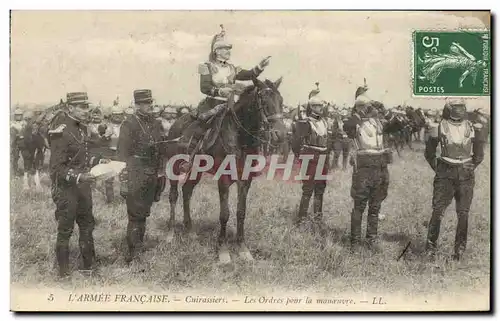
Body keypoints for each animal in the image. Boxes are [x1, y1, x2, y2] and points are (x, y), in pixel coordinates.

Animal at [162, 77, 284, 262]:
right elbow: (224, 214)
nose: (281, 134)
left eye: (281, 101)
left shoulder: (245, 180)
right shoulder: (224, 179)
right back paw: (170, 234)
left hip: (196, 171)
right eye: (264, 101)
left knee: (187, 191)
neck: (240, 137)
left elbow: (241, 212)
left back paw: (190, 231)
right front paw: (223, 251)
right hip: (175, 168)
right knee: (174, 195)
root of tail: (175, 124)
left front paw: (243, 248)